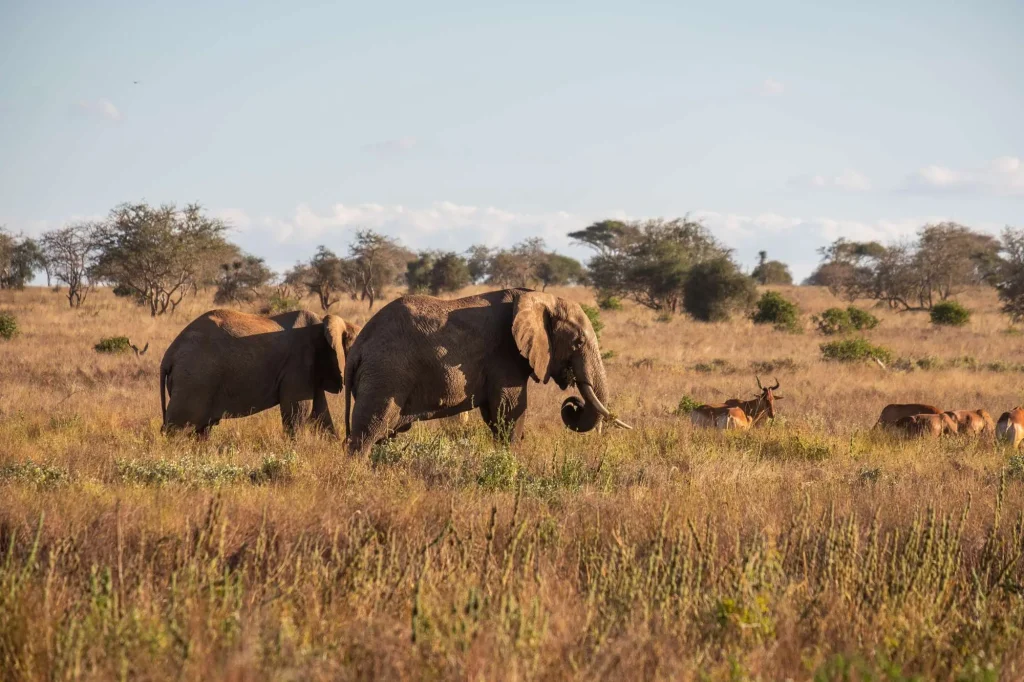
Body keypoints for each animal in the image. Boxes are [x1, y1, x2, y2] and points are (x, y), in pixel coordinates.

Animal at [160, 309, 359, 437]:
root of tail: (169, 355)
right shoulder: (299, 362)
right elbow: (297, 411)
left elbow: (321, 413)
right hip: (194, 379)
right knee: (179, 428)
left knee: (201, 429)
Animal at [343, 288, 630, 457]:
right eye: (578, 342)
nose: (573, 404)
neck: (539, 298)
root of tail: (358, 347)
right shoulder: (505, 355)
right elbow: (510, 410)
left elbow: (495, 415)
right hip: (386, 374)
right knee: (368, 431)